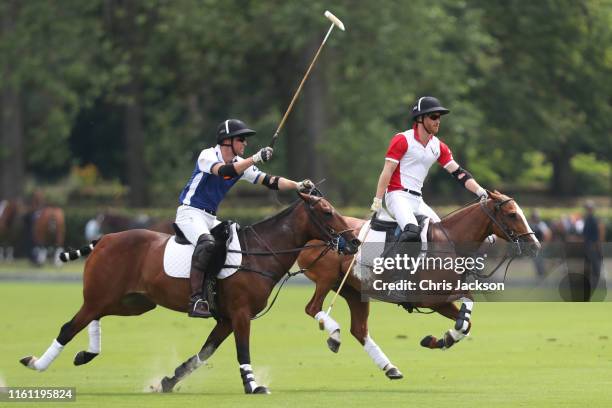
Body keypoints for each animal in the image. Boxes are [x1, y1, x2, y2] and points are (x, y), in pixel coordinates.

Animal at [21, 194, 360, 396]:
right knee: (70, 326)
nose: (355, 242)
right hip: (103, 295)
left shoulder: (226, 318)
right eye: (327, 212)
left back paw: (86, 353)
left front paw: (168, 381)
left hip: (132, 302)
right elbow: (242, 350)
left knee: (93, 317)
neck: (259, 253)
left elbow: (204, 353)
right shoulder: (240, 314)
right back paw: (37, 363)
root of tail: (105, 238)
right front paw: (253, 385)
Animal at [296, 191, 540, 380]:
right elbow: (466, 310)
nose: (535, 246)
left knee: (359, 329)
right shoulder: (431, 299)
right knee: (312, 307)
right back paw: (334, 335)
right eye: (512, 214)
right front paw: (442, 338)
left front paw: (439, 339)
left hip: (354, 290)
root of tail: (307, 237)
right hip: (327, 277)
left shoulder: (442, 300)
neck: (451, 243)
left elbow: (466, 323)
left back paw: (389, 367)